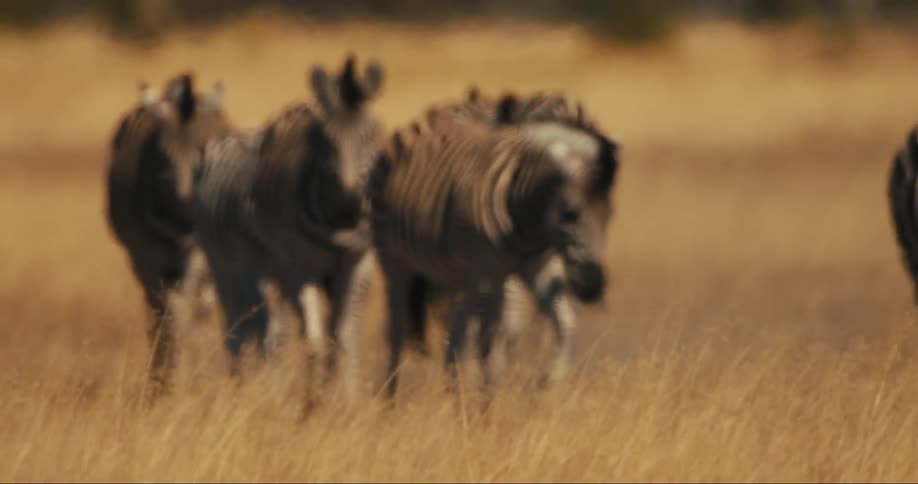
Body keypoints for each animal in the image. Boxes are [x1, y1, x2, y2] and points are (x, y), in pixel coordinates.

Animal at [106, 72, 230, 401]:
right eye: (162, 156)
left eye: (205, 150)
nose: (192, 221)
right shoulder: (145, 253)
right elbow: (169, 316)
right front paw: (165, 387)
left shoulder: (199, 255)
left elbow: (188, 314)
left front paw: (196, 382)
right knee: (160, 312)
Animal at [192, 55, 385, 412]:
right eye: (326, 141)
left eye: (372, 134)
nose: (351, 205)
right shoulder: (298, 268)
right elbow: (313, 339)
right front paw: (312, 405)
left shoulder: (357, 263)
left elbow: (343, 336)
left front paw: (346, 402)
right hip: (228, 264)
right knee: (241, 327)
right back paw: (243, 388)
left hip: (271, 274)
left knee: (269, 332)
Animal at [369, 103, 618, 400]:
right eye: (570, 213)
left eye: (610, 216)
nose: (593, 286)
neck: (528, 219)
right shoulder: (491, 274)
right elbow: (491, 344)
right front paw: (489, 407)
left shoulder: (537, 266)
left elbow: (563, 323)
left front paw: (548, 381)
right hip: (394, 261)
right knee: (396, 332)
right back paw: (390, 399)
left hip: (457, 275)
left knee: (455, 337)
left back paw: (454, 397)